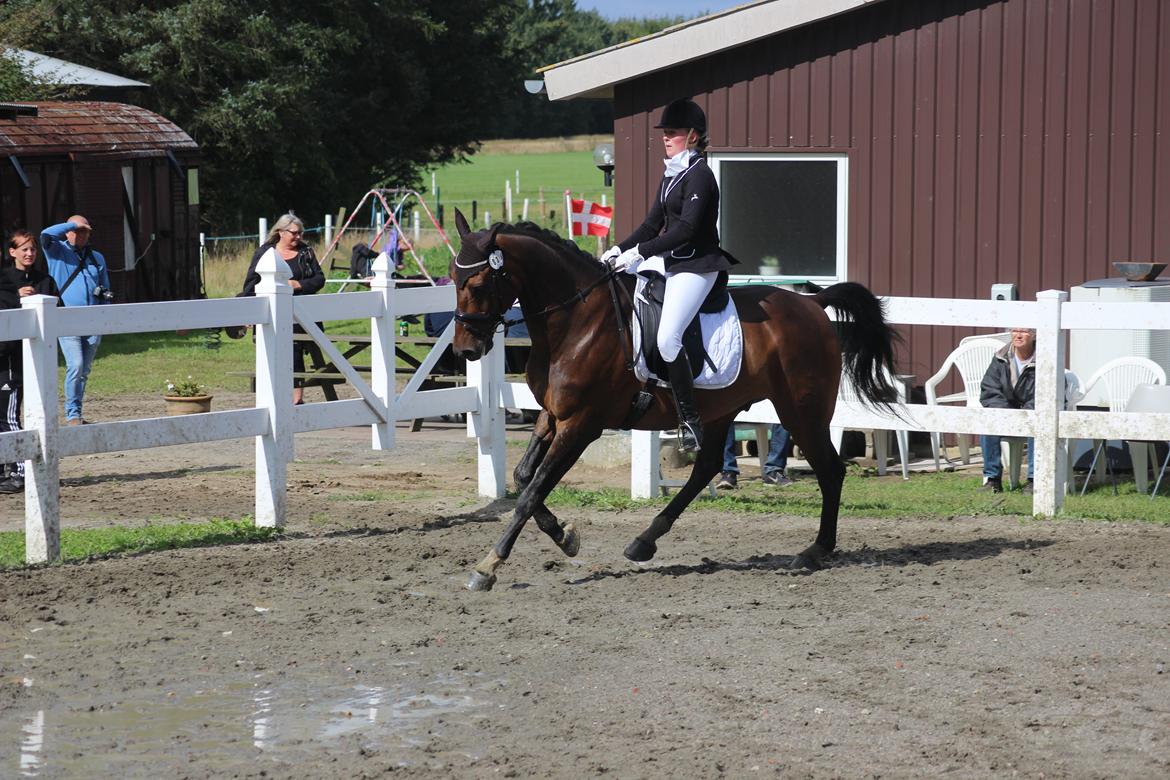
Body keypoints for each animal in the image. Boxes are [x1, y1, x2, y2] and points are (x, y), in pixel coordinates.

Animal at [446, 210, 893, 589]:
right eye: (452, 278)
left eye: (480, 284)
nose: (466, 349)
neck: (576, 321)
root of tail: (811, 303)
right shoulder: (552, 416)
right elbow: (524, 479)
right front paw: (564, 536)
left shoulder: (581, 425)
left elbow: (530, 493)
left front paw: (488, 566)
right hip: (721, 410)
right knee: (706, 468)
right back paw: (644, 541)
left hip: (802, 412)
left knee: (831, 471)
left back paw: (815, 550)